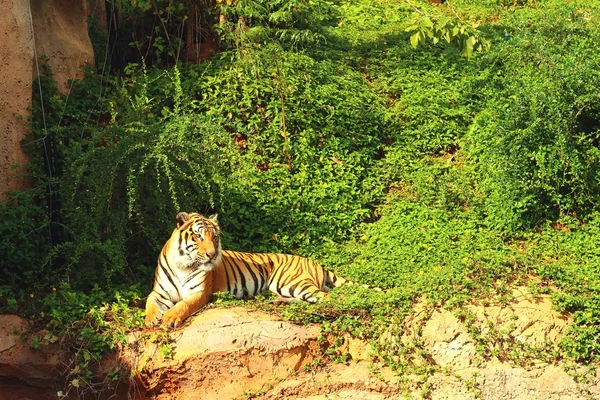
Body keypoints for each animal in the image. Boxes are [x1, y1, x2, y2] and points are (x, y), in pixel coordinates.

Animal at [145, 211, 352, 326]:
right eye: (198, 236)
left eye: (214, 237)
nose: (212, 255)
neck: (183, 265)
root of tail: (315, 262)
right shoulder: (159, 292)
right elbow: (149, 302)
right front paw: (151, 318)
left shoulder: (199, 293)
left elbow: (183, 305)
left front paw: (170, 318)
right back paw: (278, 301)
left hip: (293, 282)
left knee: (326, 298)